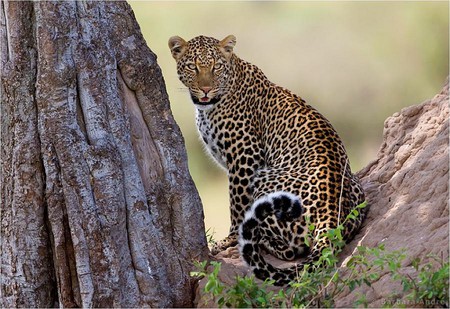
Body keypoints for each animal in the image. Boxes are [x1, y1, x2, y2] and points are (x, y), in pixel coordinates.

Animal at [167, 33, 368, 284]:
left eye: (216, 67)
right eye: (192, 67)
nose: (205, 89)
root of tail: (331, 213)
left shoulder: (244, 156)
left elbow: (237, 203)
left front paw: (229, 239)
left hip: (265, 182)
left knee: (293, 249)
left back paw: (257, 238)